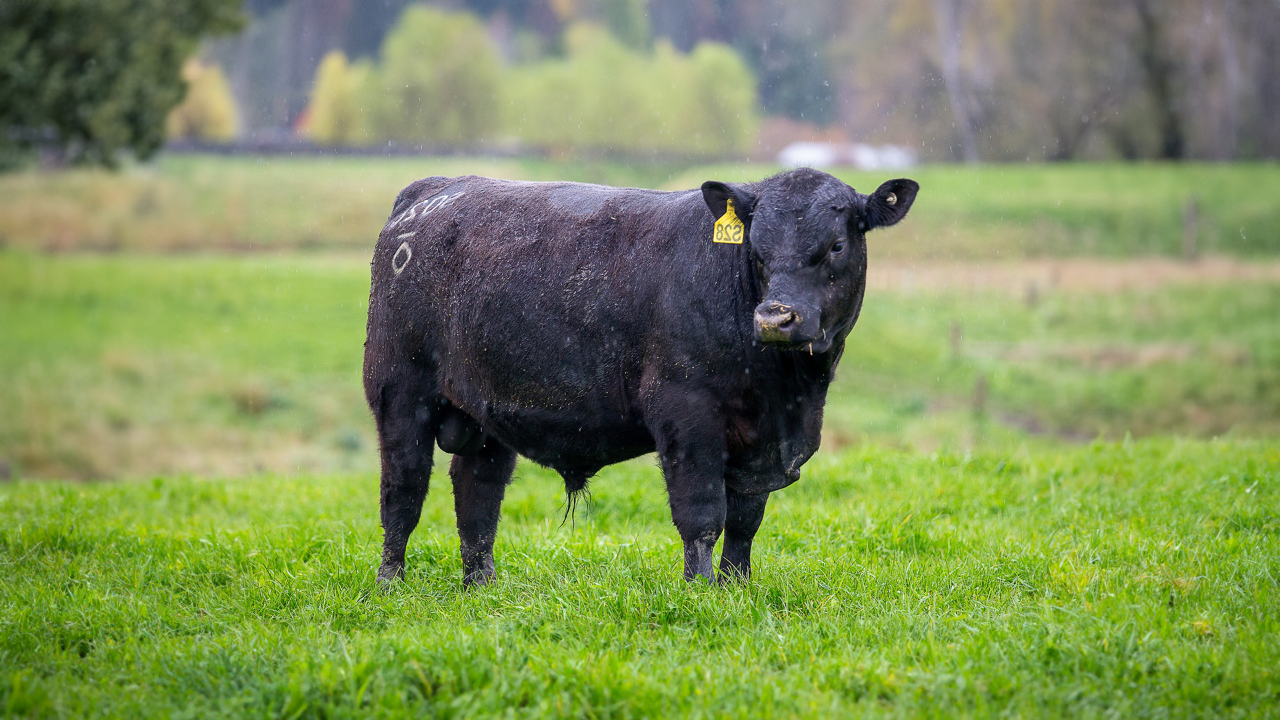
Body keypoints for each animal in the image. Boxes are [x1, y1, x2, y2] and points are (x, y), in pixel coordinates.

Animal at [363, 168, 918, 585]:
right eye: (758, 249)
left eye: (836, 246)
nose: (775, 318)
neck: (788, 391)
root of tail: (433, 191)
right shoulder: (686, 413)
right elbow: (701, 514)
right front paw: (701, 591)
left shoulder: (762, 441)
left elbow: (745, 520)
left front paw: (737, 587)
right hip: (400, 392)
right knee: (403, 491)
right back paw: (392, 584)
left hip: (484, 413)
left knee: (477, 495)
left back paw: (482, 586)